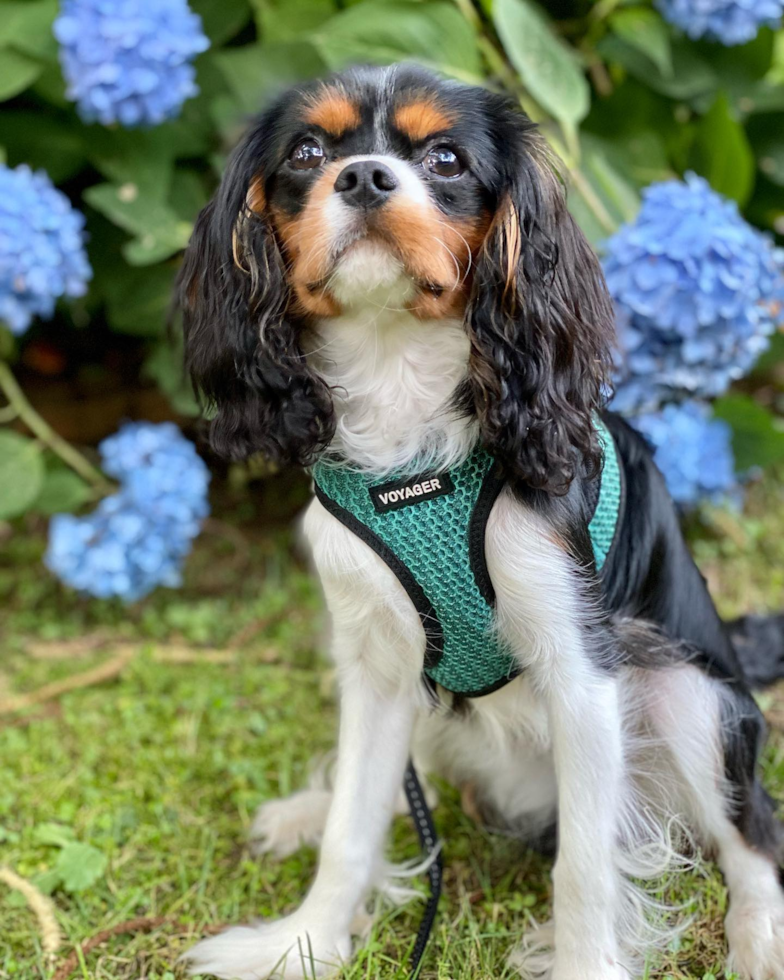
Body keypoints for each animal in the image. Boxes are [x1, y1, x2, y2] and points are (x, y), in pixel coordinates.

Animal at [178, 65, 784, 976]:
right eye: (309, 154)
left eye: (446, 159)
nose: (363, 177)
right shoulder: (374, 664)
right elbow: (355, 823)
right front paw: (303, 941)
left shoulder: (584, 671)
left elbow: (585, 869)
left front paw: (584, 965)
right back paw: (308, 811)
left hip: (688, 696)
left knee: (753, 836)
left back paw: (759, 937)